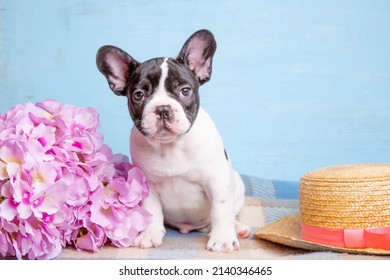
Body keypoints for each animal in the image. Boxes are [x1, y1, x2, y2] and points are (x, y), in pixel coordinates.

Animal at [96, 29, 251, 253]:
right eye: (138, 95)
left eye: (185, 91)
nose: (162, 108)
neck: (170, 147)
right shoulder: (148, 185)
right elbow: (152, 211)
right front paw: (149, 234)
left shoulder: (217, 181)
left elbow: (220, 210)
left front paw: (222, 238)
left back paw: (237, 228)